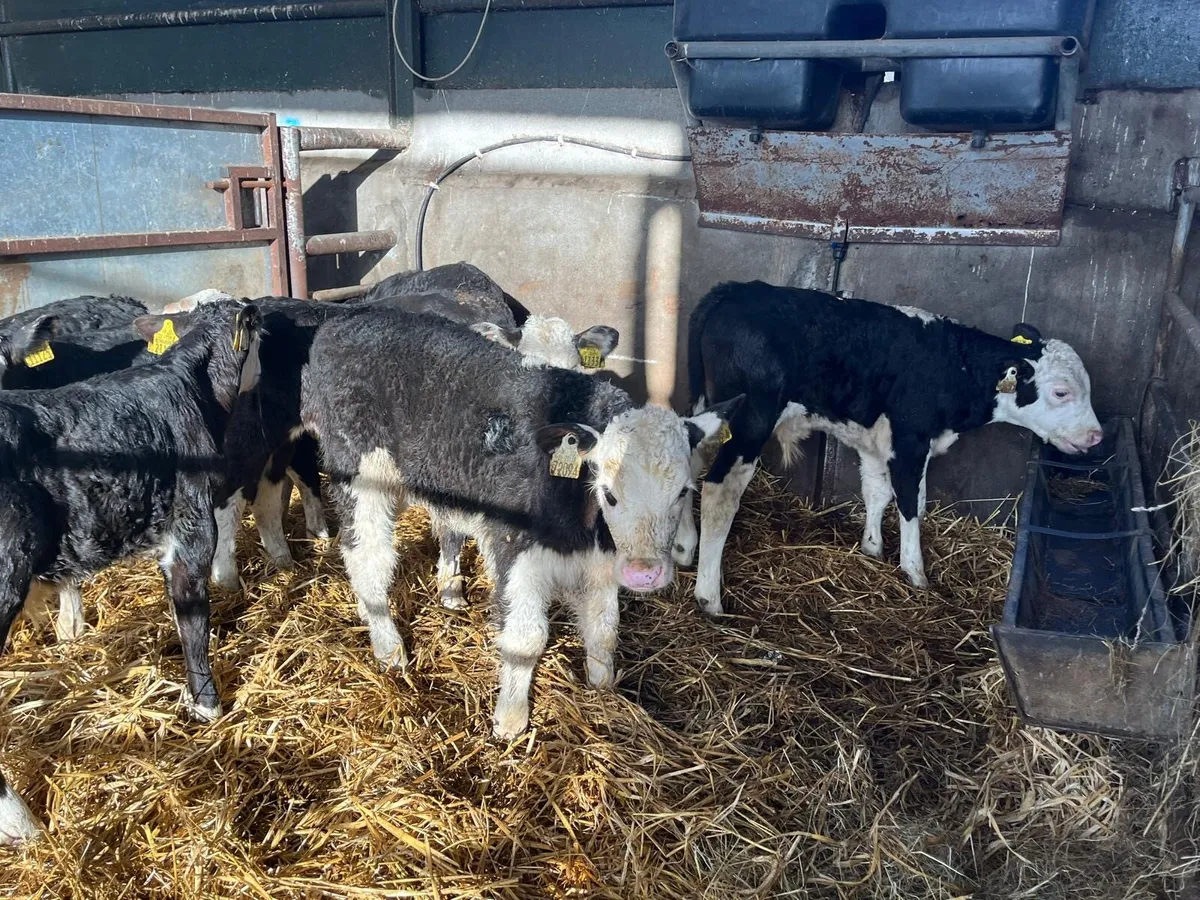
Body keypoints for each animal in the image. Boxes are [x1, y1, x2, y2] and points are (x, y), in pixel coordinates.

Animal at [300, 307, 739, 739]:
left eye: (682, 492)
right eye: (608, 492)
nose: (645, 574)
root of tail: (346, 320)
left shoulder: (601, 562)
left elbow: (604, 631)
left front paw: (603, 693)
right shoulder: (515, 550)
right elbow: (526, 640)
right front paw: (510, 721)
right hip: (361, 477)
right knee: (366, 554)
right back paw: (388, 646)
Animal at [677, 281, 1103, 614]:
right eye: (1061, 392)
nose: (1097, 436)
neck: (951, 365)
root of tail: (736, 290)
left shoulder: (873, 441)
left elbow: (876, 491)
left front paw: (872, 548)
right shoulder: (911, 443)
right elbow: (912, 502)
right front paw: (915, 572)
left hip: (709, 407)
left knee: (689, 461)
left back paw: (683, 548)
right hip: (750, 420)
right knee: (719, 491)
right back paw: (709, 595)